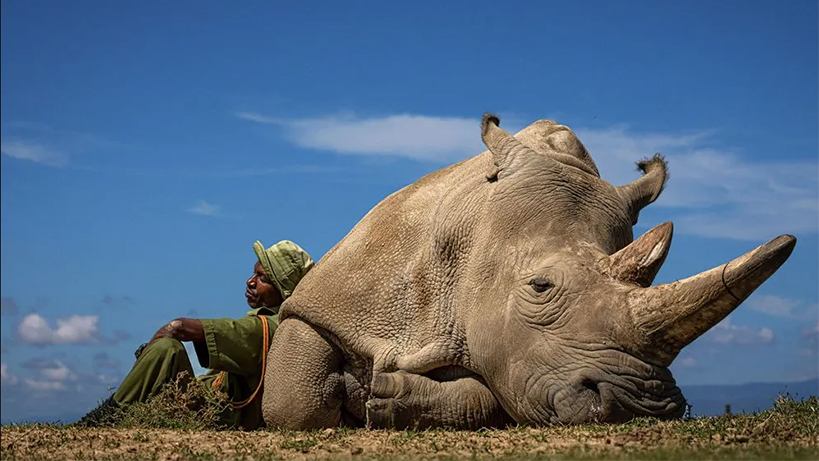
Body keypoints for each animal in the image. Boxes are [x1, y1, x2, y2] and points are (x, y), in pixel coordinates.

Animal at [262, 113, 796, 430]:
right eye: (541, 287)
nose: (640, 405)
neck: (471, 236)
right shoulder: (331, 299)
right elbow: (295, 401)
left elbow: (488, 395)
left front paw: (381, 397)